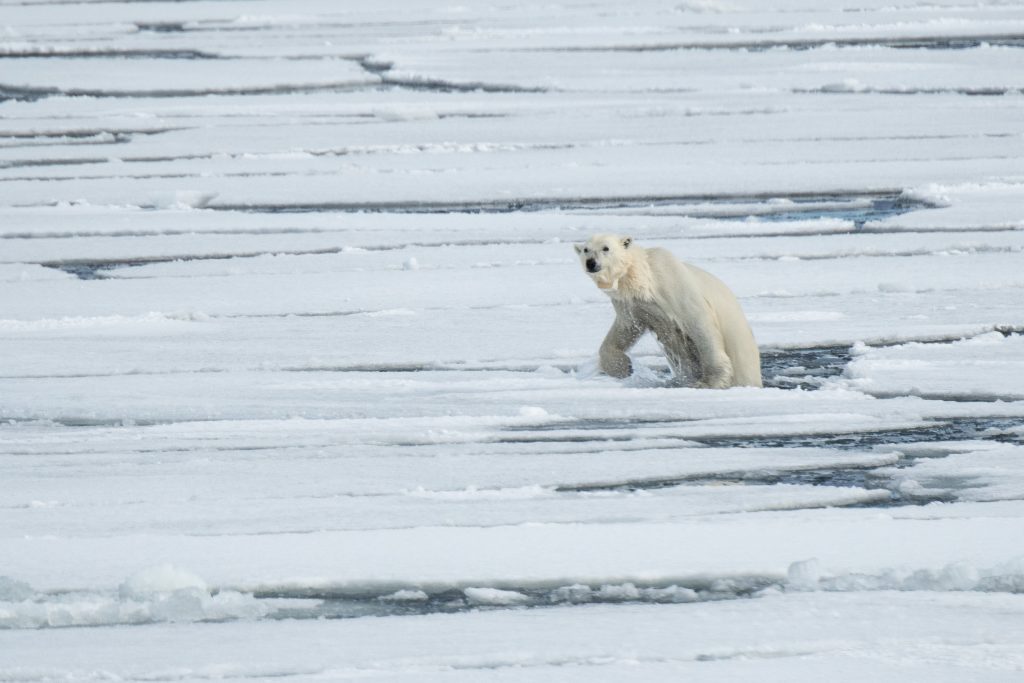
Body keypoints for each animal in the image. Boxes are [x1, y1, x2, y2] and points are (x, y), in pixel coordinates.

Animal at [574, 234, 762, 388]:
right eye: (585, 249)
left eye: (606, 248)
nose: (591, 262)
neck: (645, 279)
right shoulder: (631, 305)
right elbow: (624, 329)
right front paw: (624, 367)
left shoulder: (676, 287)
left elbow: (701, 326)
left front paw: (710, 381)